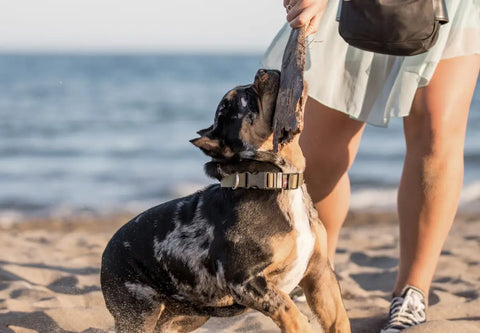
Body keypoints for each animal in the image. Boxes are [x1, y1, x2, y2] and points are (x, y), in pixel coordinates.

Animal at [100, 68, 348, 330]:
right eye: (245, 99)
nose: (263, 70)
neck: (275, 178)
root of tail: (105, 256)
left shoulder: (321, 274)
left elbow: (339, 319)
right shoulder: (245, 280)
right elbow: (287, 309)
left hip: (187, 317)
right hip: (140, 311)